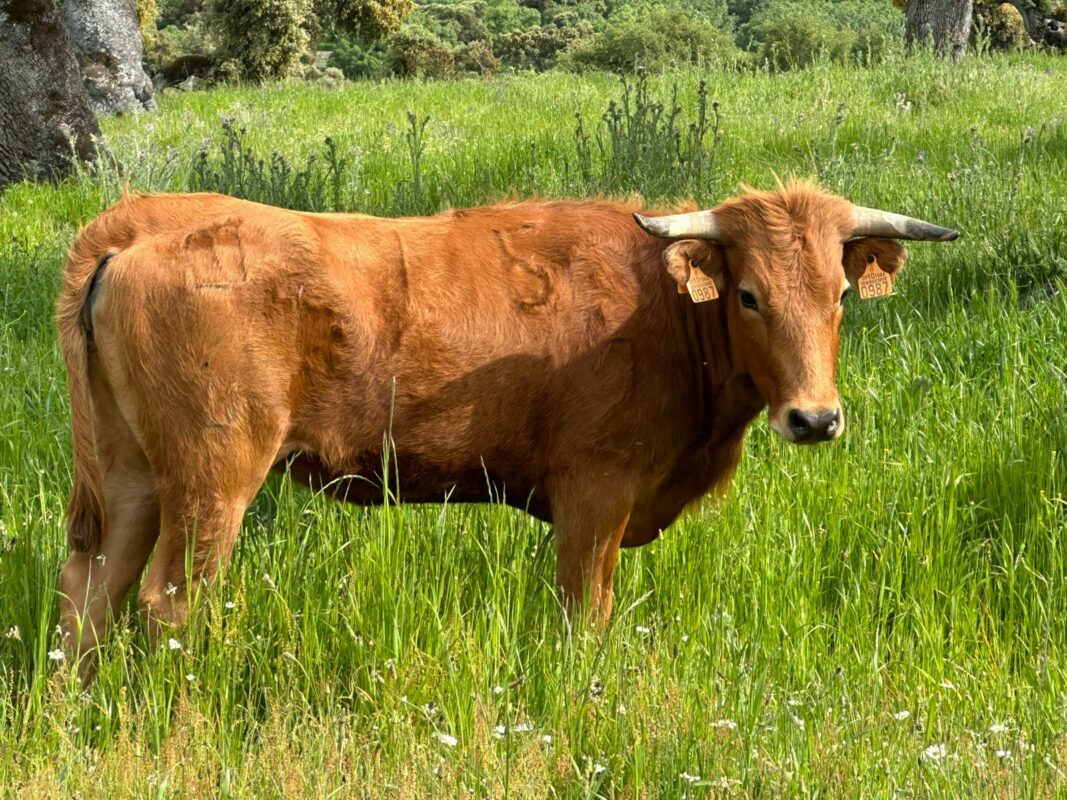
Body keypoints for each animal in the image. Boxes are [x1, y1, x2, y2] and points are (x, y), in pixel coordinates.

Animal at [56, 184, 960, 665]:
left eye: (837, 295)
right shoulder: (594, 494)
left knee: (90, 588)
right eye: (747, 295)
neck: (660, 307)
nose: (815, 417)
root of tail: (145, 219)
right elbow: (583, 613)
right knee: (169, 602)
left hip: (130, 478)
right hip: (213, 478)